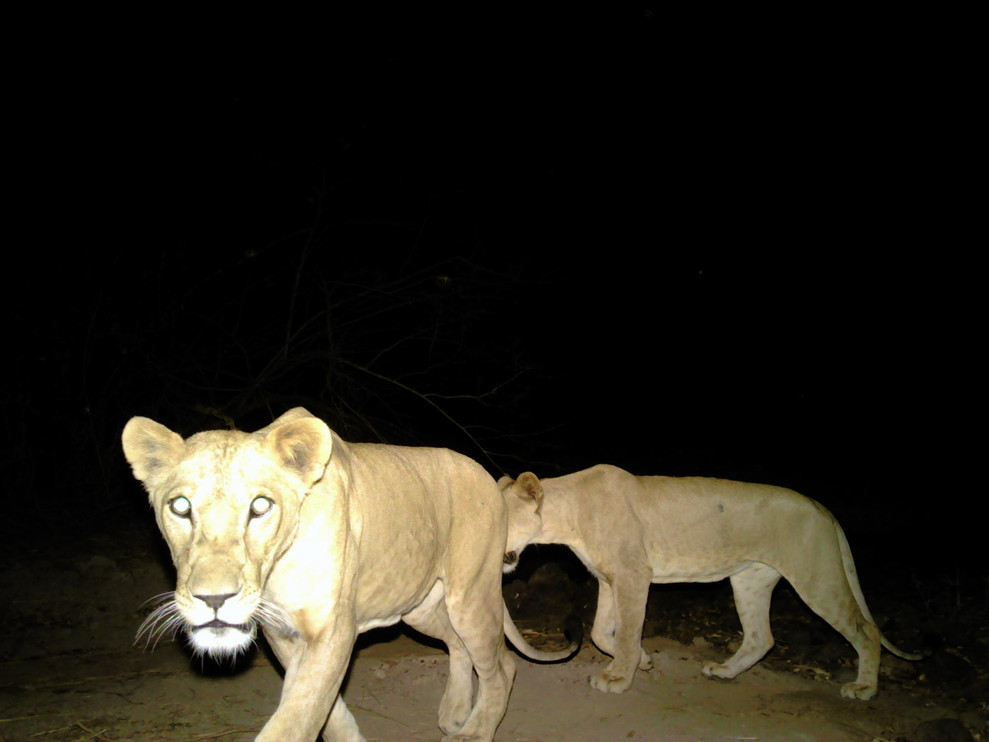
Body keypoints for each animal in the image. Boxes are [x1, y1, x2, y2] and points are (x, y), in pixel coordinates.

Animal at [122, 407, 574, 742]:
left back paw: (474, 731)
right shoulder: (284, 635)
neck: (275, 573)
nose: (214, 600)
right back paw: (455, 712)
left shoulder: (331, 632)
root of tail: (491, 479)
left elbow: (297, 718)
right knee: (458, 645)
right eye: (180, 507)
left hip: (471, 592)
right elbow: (324, 711)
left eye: (261, 506)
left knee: (502, 665)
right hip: (419, 606)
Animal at [499, 464, 922, 700]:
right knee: (761, 638)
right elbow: (604, 632)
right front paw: (643, 661)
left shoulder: (635, 574)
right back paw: (724, 672)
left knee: (865, 630)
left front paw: (619, 678)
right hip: (750, 580)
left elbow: (627, 630)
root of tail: (822, 509)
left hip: (816, 576)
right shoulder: (608, 578)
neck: (567, 517)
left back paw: (864, 688)